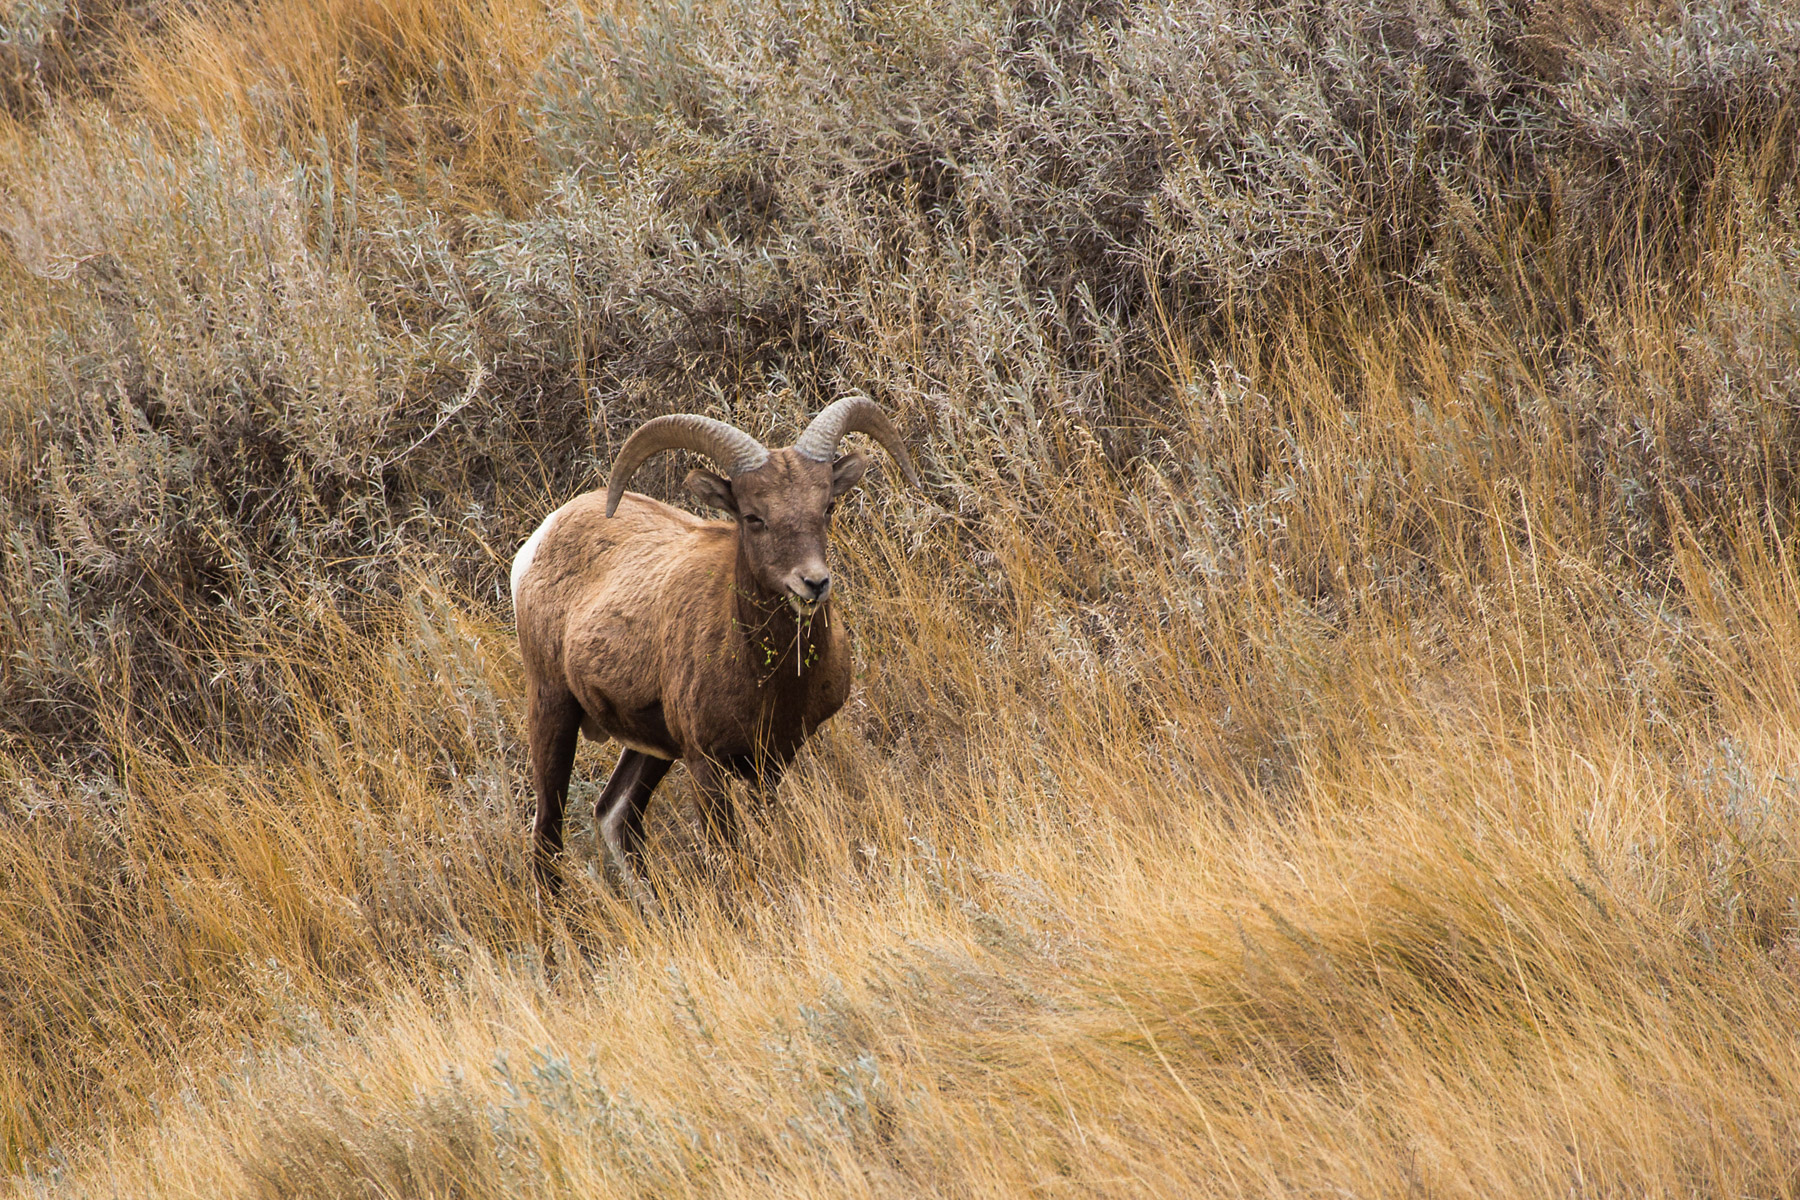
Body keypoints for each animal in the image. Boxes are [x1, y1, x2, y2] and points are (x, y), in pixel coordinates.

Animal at [511, 396, 920, 903]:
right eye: (753, 517)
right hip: (553, 708)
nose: (813, 583)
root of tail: (538, 542)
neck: (771, 679)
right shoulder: (706, 765)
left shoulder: (772, 761)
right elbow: (730, 853)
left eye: (827, 506)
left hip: (652, 748)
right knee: (548, 830)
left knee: (615, 815)